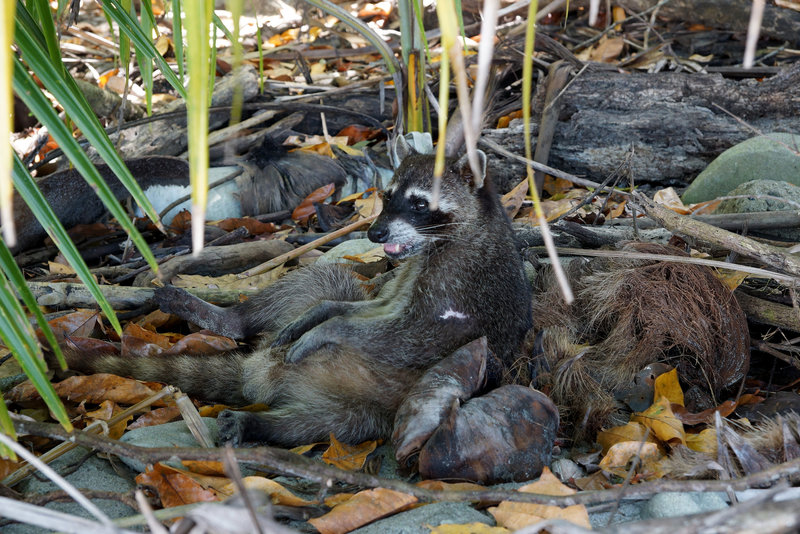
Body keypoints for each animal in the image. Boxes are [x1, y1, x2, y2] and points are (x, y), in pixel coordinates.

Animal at [62, 138, 536, 448]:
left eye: (420, 203)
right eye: (387, 196)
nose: (375, 233)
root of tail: (258, 375)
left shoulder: (460, 284)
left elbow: (412, 336)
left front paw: (332, 327)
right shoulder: (407, 273)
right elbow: (363, 303)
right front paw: (323, 315)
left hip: (375, 404)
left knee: (330, 424)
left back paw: (263, 425)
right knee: (323, 280)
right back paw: (233, 320)